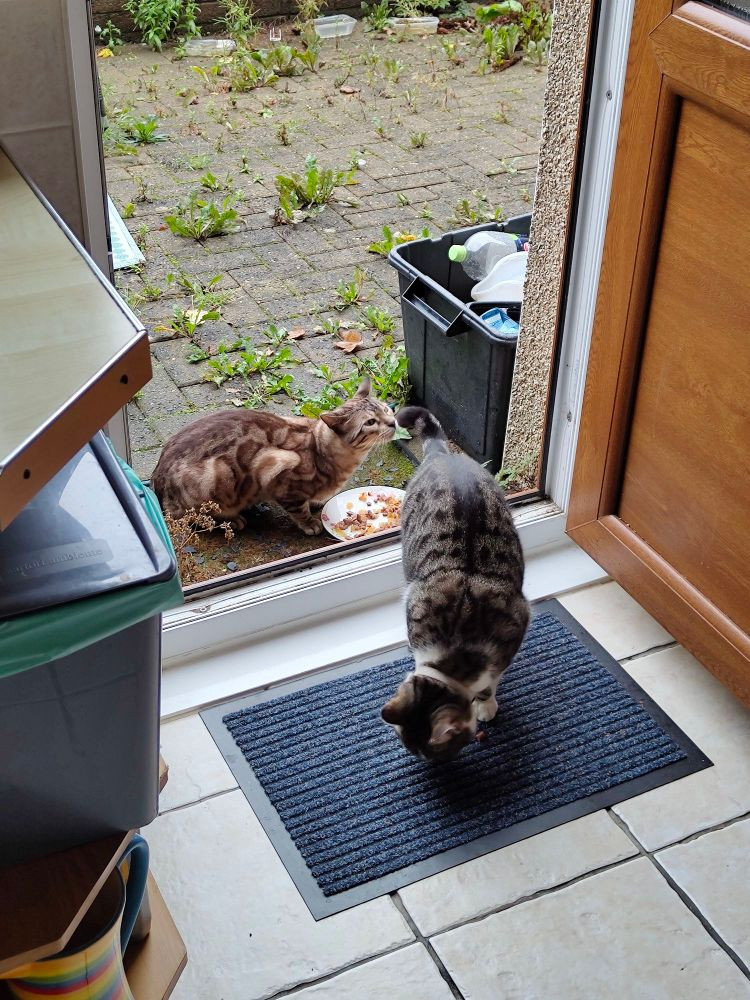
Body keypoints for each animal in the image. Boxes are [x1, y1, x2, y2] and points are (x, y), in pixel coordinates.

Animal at [151, 378, 396, 536]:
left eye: (386, 409)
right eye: (370, 422)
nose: (393, 422)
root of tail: (156, 476)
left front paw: (316, 502)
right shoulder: (276, 472)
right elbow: (299, 509)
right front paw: (311, 523)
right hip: (217, 477)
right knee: (184, 515)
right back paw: (232, 519)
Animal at [382, 404, 528, 756]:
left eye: (430, 754)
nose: (421, 760)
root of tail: (441, 454)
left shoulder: (515, 631)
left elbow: (489, 685)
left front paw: (486, 705)